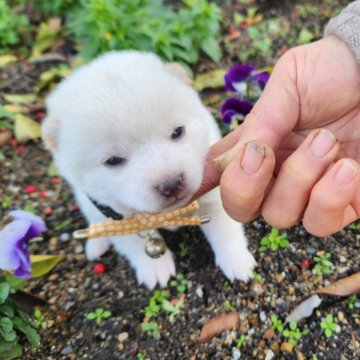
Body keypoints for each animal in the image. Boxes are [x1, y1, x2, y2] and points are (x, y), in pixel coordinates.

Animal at [42, 50, 256, 290]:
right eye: (113, 160)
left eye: (177, 131)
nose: (171, 184)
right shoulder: (116, 217)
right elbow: (134, 245)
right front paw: (155, 269)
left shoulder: (211, 193)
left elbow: (225, 230)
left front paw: (237, 261)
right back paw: (96, 244)